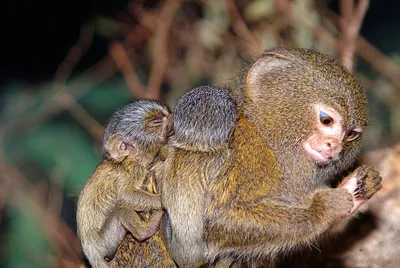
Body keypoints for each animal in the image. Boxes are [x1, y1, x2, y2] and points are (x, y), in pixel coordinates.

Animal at [76, 100, 172, 268]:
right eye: (156, 122)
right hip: (106, 241)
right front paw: (163, 201)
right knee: (120, 210)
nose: (173, 118)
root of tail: (91, 253)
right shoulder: (134, 168)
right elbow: (125, 196)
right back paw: (145, 230)